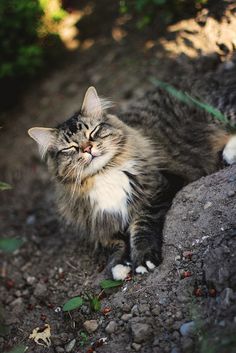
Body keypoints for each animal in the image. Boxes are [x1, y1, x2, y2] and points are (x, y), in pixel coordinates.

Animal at [28, 76, 236, 278]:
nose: (87, 148)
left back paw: (229, 153)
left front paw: (142, 258)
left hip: (220, 110)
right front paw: (119, 265)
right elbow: (114, 243)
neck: (104, 173)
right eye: (70, 148)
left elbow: (141, 225)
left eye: (93, 132)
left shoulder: (159, 188)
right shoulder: (100, 224)